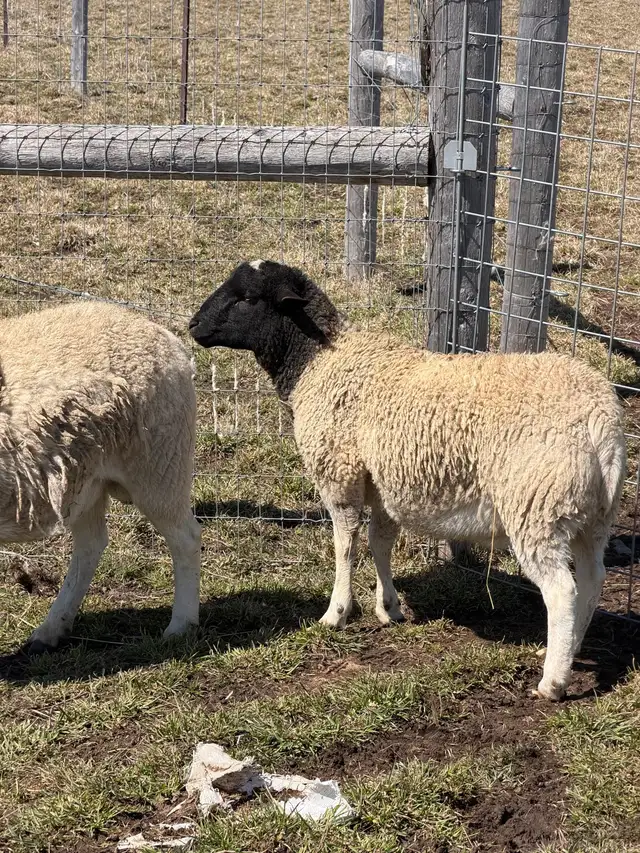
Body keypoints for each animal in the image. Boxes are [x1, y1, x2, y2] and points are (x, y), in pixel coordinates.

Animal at [1, 301, 201, 652]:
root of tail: (168, 340)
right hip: (83, 482)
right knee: (90, 546)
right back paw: (52, 629)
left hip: (160, 464)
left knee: (186, 539)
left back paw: (180, 626)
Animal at [189, 260, 626, 700]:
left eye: (248, 298)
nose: (193, 325)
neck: (320, 361)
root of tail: (600, 422)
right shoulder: (384, 484)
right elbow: (379, 543)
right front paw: (389, 608)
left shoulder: (340, 474)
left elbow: (345, 546)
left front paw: (336, 613)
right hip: (592, 516)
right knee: (592, 582)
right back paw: (568, 651)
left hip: (537, 505)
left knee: (561, 591)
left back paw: (552, 681)